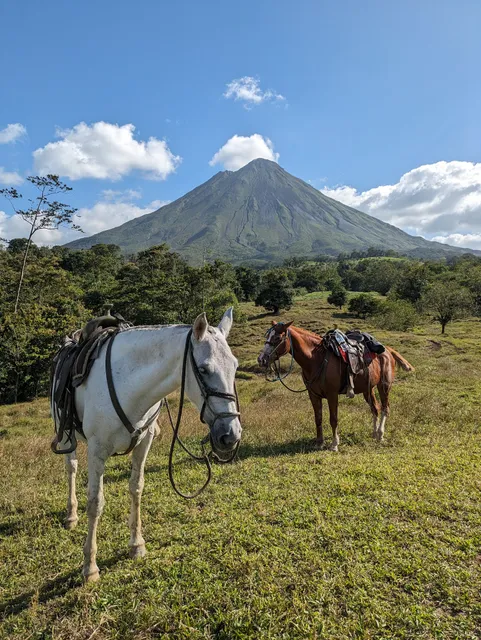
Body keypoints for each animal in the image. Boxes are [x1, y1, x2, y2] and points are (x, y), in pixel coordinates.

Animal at [52, 308, 242, 582]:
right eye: (204, 369)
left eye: (235, 366)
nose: (230, 435)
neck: (129, 384)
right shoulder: (97, 450)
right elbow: (95, 502)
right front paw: (90, 566)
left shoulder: (144, 444)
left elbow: (136, 488)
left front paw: (136, 545)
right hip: (66, 435)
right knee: (72, 468)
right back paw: (71, 514)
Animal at [258, 321, 414, 451]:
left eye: (277, 338)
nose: (261, 359)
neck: (316, 359)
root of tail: (388, 350)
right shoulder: (313, 394)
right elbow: (318, 418)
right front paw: (319, 442)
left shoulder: (332, 395)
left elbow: (333, 419)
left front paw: (334, 444)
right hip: (368, 390)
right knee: (375, 408)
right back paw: (374, 434)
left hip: (384, 386)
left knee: (385, 408)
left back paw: (380, 434)